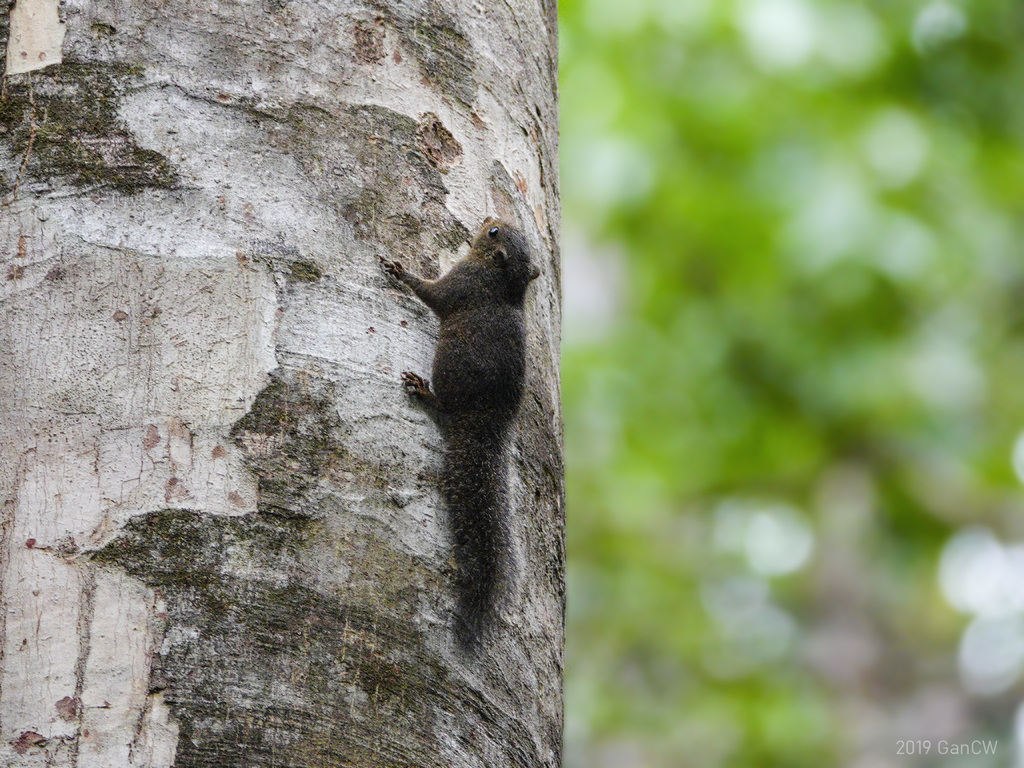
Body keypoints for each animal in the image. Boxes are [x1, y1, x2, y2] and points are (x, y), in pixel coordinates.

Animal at [380, 218, 540, 653]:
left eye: (494, 234)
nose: (488, 219)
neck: (504, 282)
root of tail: (486, 421)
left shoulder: (462, 283)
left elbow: (431, 294)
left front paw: (402, 272)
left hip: (450, 376)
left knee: (445, 407)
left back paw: (424, 392)